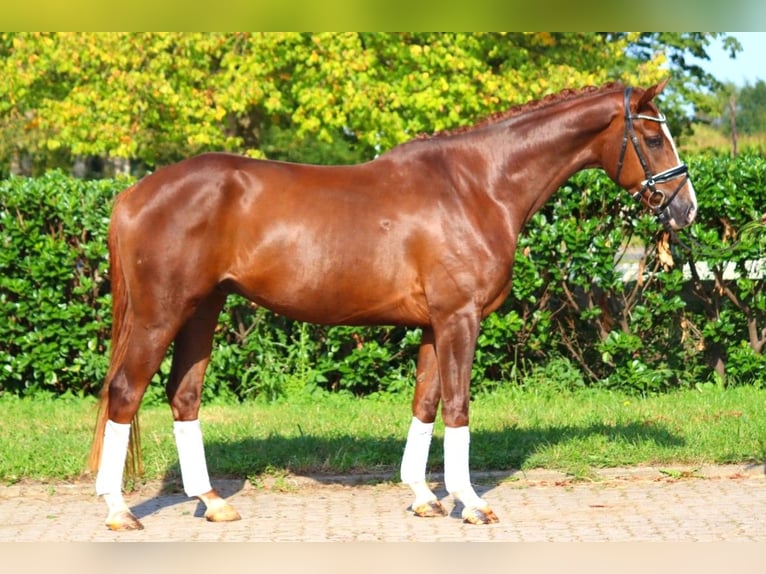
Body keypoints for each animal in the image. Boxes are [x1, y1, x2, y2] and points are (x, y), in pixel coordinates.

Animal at [88, 80, 696, 532]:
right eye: (654, 137)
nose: (685, 208)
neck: (477, 185)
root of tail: (133, 195)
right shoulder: (459, 318)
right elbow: (458, 407)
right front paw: (471, 502)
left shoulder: (433, 324)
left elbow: (425, 404)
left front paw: (424, 497)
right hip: (160, 314)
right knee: (126, 392)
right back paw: (118, 510)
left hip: (203, 310)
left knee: (182, 395)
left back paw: (212, 501)